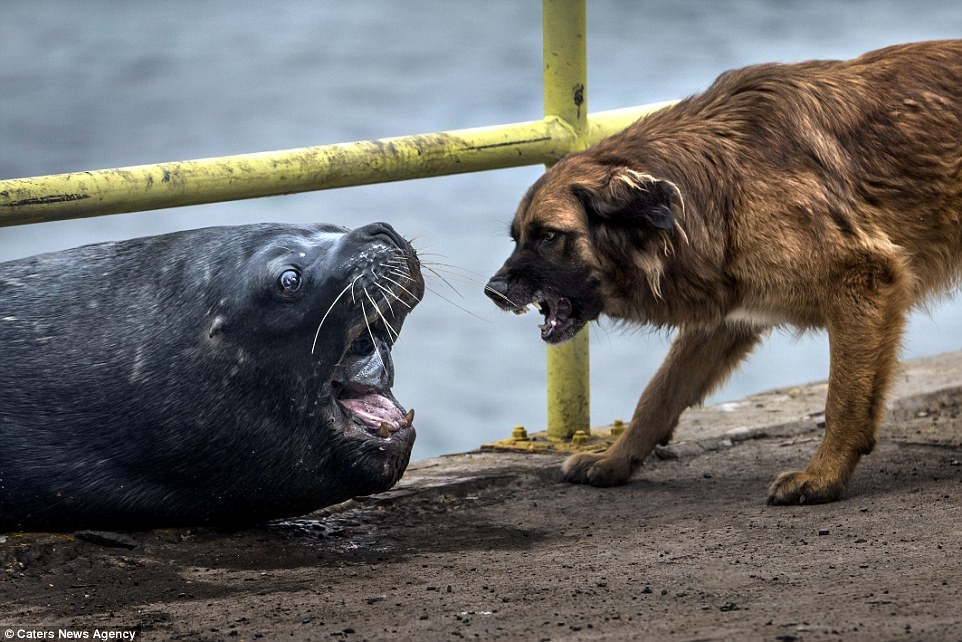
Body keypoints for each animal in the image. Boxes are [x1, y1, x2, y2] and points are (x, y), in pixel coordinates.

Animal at [488, 41, 960, 504]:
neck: (724, 184)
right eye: (516, 237)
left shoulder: (864, 281)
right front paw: (615, 459)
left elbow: (842, 401)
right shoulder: (726, 313)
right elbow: (658, 394)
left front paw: (823, 477)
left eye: (548, 236)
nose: (492, 290)